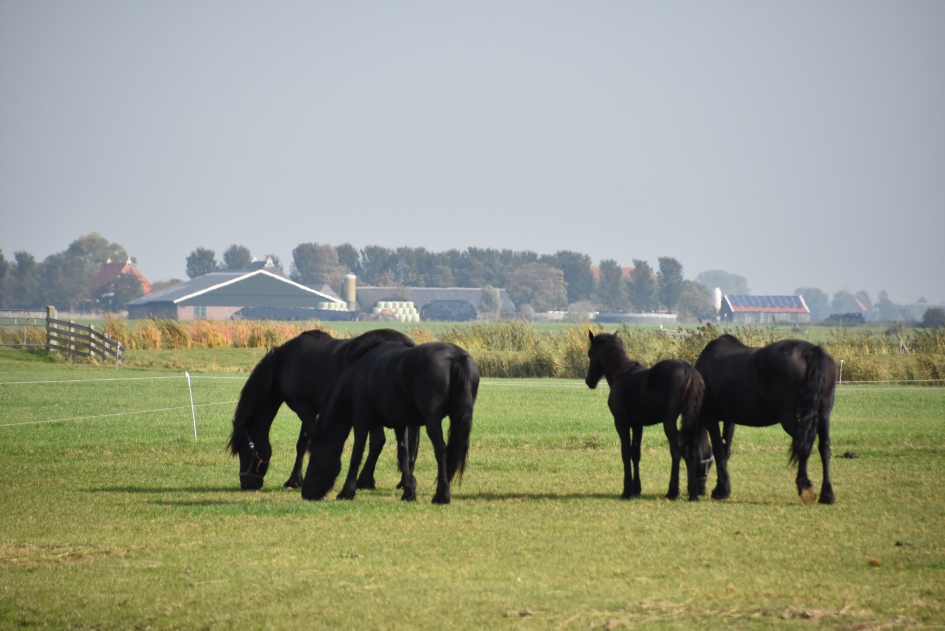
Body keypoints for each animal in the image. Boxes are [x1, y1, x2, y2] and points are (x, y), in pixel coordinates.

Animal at [226, 328, 418, 490]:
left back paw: (364, 481)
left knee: (378, 441)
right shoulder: (310, 408)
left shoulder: (303, 408)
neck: (285, 362)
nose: (247, 484)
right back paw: (403, 481)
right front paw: (294, 480)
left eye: (243, 449)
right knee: (402, 445)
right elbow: (302, 444)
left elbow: (310, 441)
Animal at [301, 341, 480, 504]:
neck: (358, 375)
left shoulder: (361, 420)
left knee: (440, 449)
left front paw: (347, 492)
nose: (305, 494)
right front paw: (409, 492)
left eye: (313, 459)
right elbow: (403, 453)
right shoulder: (399, 424)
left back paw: (441, 496)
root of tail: (456, 356)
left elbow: (356, 455)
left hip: (432, 421)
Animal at [585, 331, 714, 500]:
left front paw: (627, 491)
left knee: (676, 450)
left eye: (590, 353)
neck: (621, 373)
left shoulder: (621, 423)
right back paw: (692, 493)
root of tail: (689, 371)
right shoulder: (637, 425)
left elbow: (625, 453)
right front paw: (636, 489)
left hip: (669, 422)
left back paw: (672, 491)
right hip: (691, 420)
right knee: (691, 451)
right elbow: (636, 453)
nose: (589, 381)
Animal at [681, 334, 836, 504]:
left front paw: (721, 490)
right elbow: (726, 450)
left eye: (686, 456)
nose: (697, 490)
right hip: (823, 414)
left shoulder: (711, 418)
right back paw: (826, 494)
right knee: (824, 447)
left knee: (803, 444)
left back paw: (805, 487)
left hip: (789, 419)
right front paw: (723, 487)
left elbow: (719, 450)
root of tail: (811, 350)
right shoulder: (730, 420)